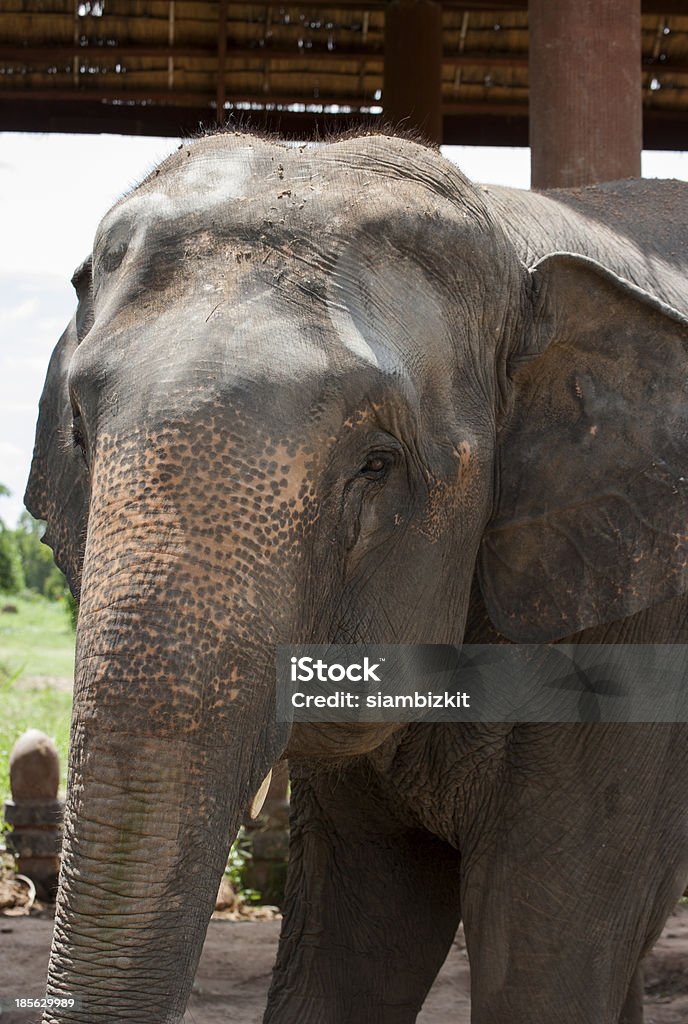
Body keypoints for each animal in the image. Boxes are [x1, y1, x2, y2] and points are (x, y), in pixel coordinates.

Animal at [26, 132, 688, 1019]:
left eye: (377, 463)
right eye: (79, 432)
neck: (508, 237)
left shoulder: (640, 643)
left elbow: (543, 956)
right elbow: (358, 939)